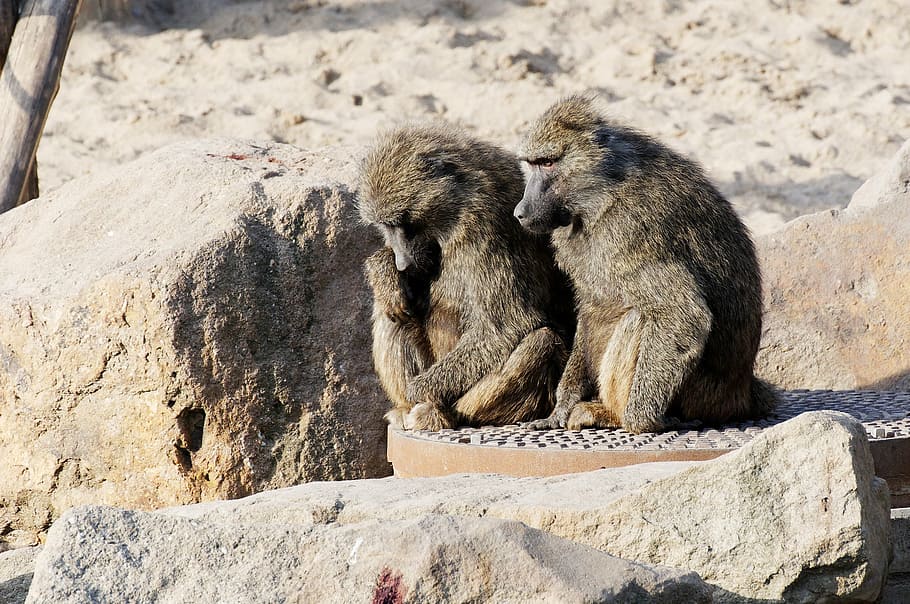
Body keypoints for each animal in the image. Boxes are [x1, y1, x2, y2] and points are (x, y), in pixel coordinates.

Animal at [358, 124, 574, 431]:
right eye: (386, 226)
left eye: (404, 222)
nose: (402, 263)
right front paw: (385, 271)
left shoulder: (482, 228)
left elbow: (505, 327)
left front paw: (417, 390)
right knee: (391, 312)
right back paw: (403, 407)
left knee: (541, 341)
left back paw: (441, 413)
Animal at [514, 95, 778, 434]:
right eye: (531, 164)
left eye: (548, 163)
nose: (520, 212)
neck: (602, 192)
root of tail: (742, 392)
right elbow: (590, 310)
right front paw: (561, 408)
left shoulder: (631, 229)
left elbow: (684, 314)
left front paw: (642, 421)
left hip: (703, 395)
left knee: (640, 317)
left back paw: (614, 415)